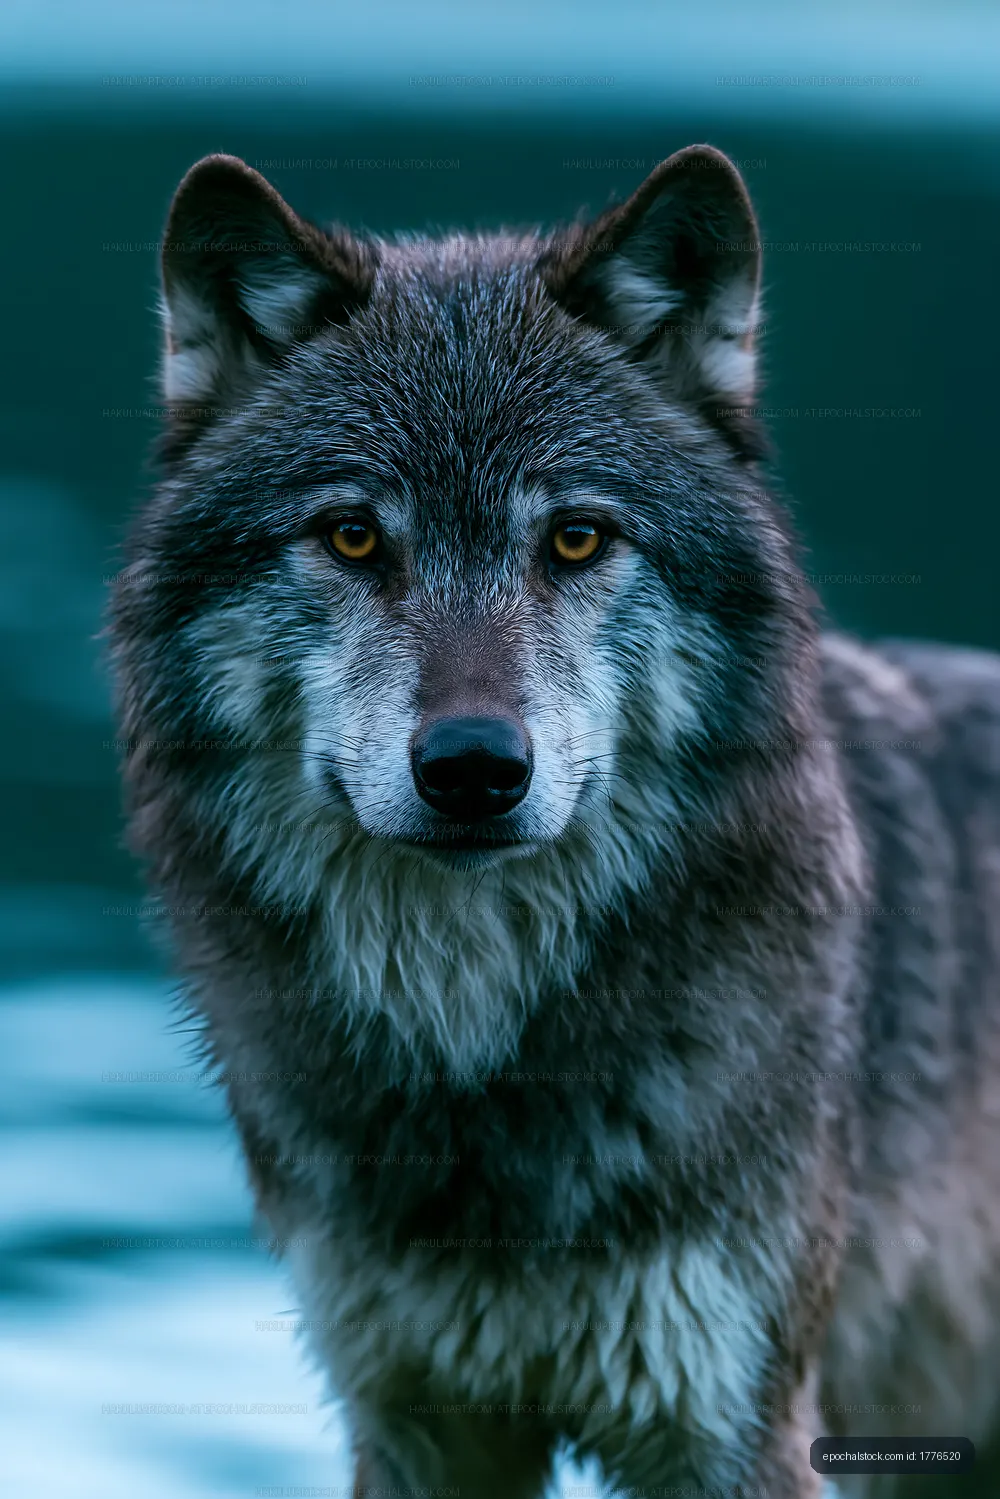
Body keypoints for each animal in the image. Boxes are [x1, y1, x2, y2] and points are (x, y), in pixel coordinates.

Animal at [109, 144, 1000, 1498]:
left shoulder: (740, 1425)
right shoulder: (418, 1421)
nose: (474, 767)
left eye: (576, 537)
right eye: (352, 534)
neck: (482, 1053)